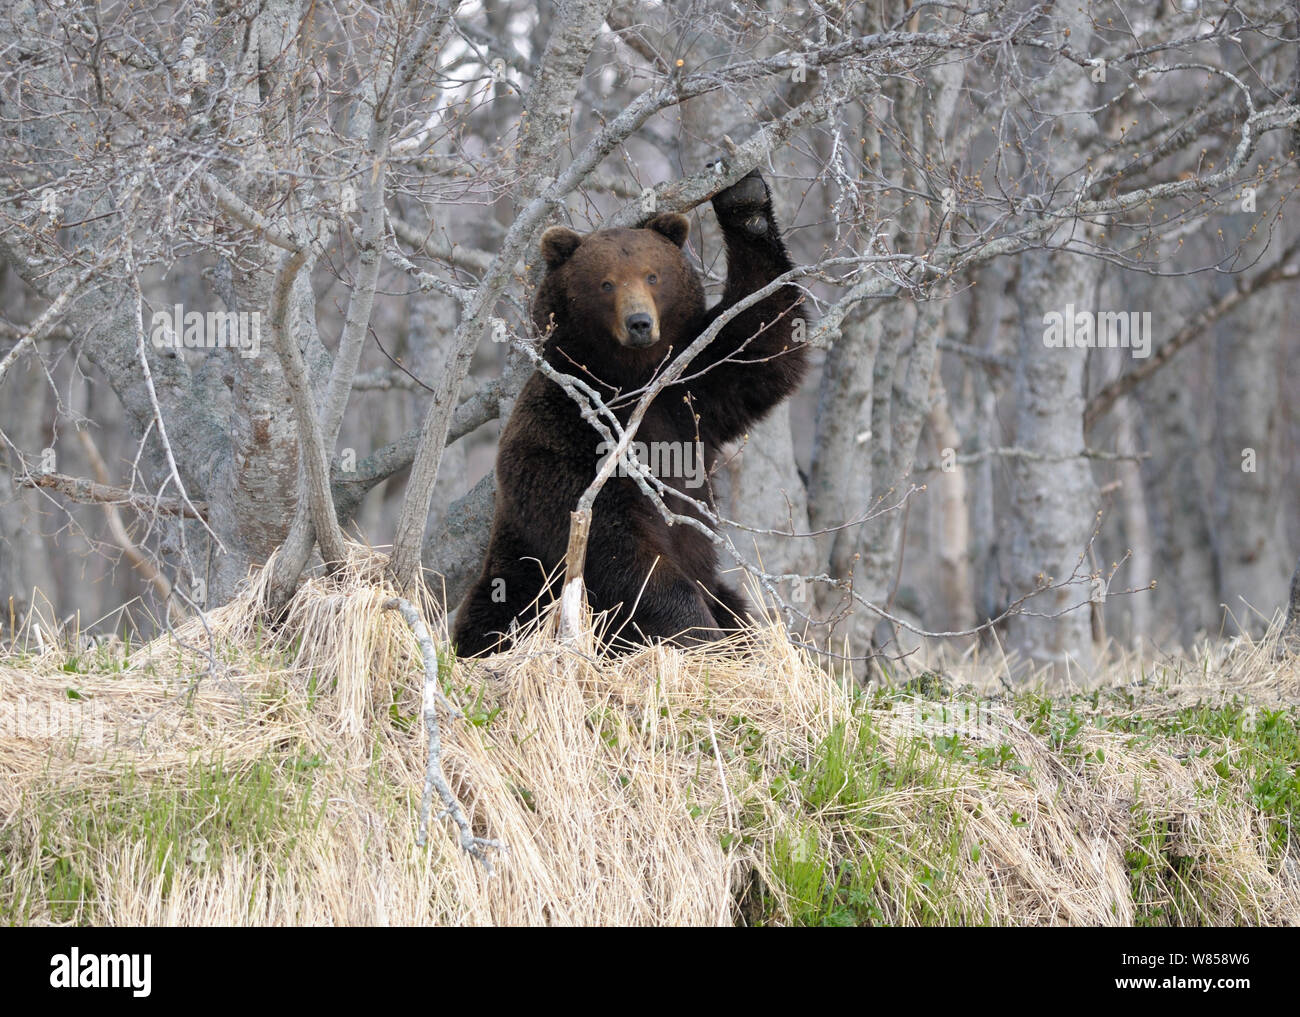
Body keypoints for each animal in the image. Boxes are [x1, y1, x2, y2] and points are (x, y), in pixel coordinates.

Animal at [452, 170, 807, 657]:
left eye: (652, 275)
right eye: (606, 283)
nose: (639, 322)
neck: (630, 381)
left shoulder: (692, 390)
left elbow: (763, 339)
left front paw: (744, 197)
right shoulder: (568, 432)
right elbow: (615, 545)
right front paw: (694, 631)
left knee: (735, 607)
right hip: (517, 579)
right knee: (497, 617)